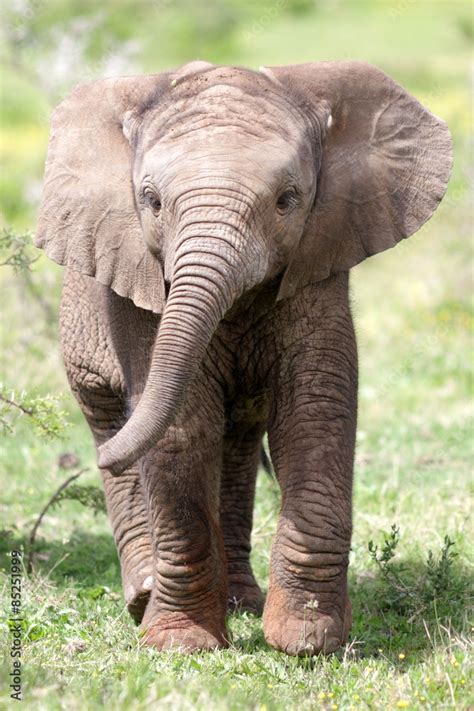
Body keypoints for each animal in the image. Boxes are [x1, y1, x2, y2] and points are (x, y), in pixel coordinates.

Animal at [36, 61, 452, 656]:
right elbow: (182, 424)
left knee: (235, 440)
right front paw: (181, 646)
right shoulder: (140, 289)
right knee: (111, 415)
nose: (94, 462)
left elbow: (314, 411)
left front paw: (306, 640)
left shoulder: (318, 262)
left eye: (287, 199)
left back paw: (241, 603)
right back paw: (144, 594)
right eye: (151, 201)